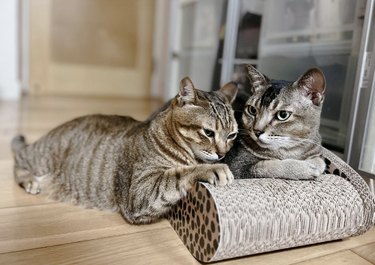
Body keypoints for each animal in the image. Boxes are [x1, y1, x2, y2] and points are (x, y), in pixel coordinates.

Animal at [13, 77, 241, 223]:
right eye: (208, 132)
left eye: (232, 135)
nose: (222, 154)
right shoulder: (140, 192)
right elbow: (178, 174)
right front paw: (213, 169)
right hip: (41, 157)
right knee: (18, 158)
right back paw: (30, 180)